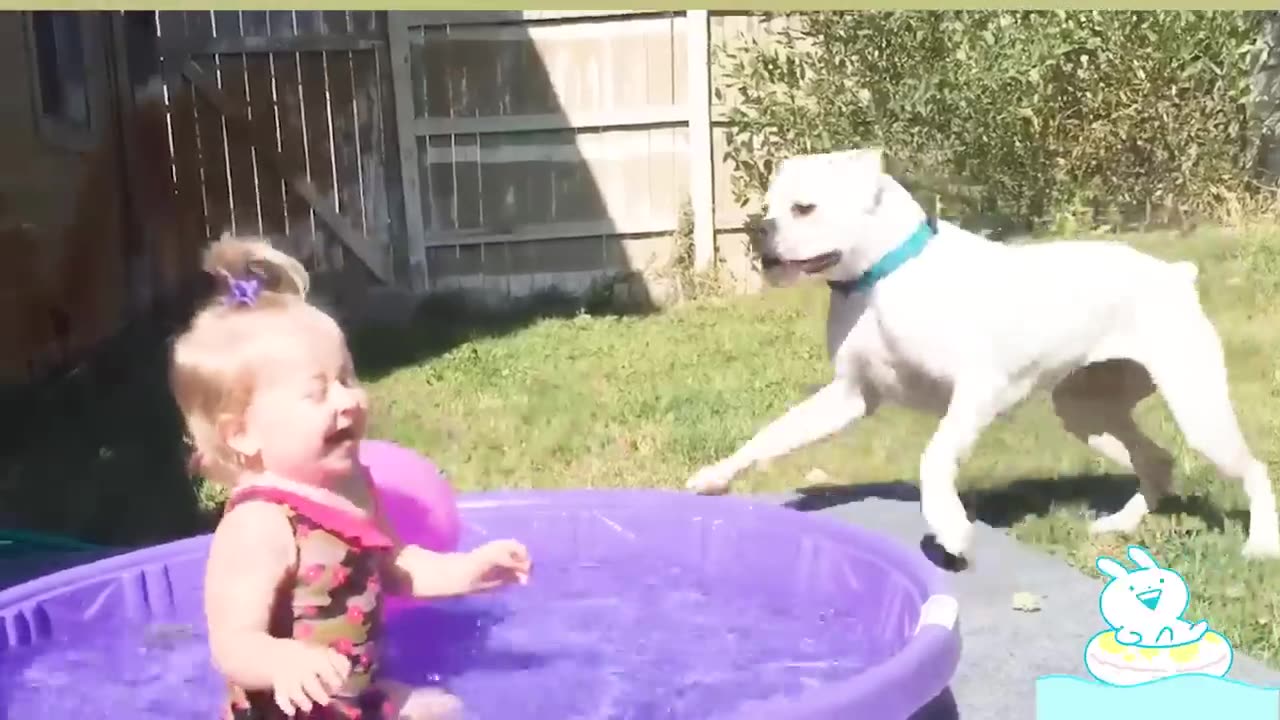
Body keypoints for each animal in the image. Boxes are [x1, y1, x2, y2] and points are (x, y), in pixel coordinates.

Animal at [691, 147, 1280, 561]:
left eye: (804, 208)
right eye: (767, 208)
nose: (757, 229)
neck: (883, 280)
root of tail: (1176, 274)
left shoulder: (978, 392)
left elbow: (934, 456)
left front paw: (949, 528)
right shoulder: (850, 397)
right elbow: (771, 436)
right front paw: (715, 477)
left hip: (1198, 411)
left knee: (1252, 468)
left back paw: (1259, 545)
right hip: (1087, 412)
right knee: (1155, 460)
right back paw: (1119, 525)